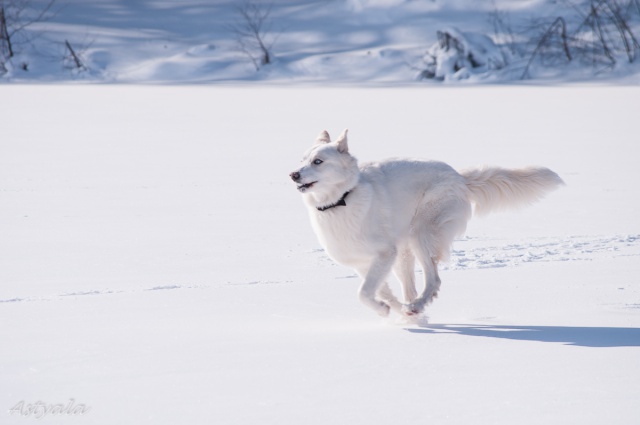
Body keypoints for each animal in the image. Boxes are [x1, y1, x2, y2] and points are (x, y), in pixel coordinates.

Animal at [290, 129, 564, 318]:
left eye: (318, 161)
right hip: (405, 252)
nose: (293, 174)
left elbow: (364, 293)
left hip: (420, 235)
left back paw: (418, 306)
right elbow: (377, 292)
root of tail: (458, 176)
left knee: (434, 281)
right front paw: (391, 310)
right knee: (412, 287)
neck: (342, 200)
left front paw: (387, 311)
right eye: (302, 160)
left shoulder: (384, 254)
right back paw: (411, 310)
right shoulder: (362, 263)